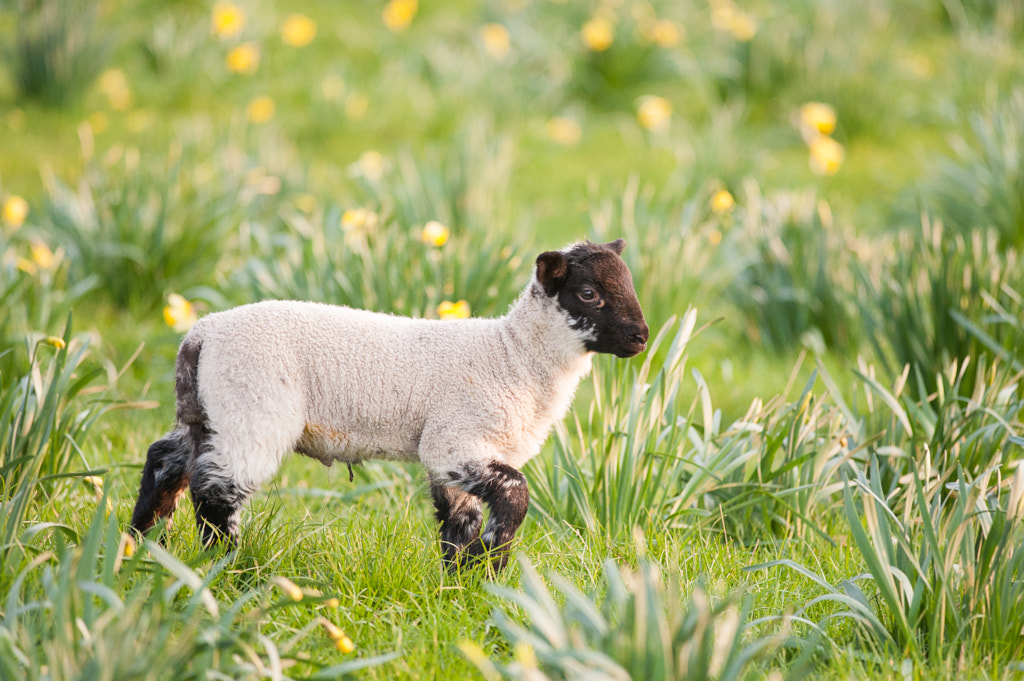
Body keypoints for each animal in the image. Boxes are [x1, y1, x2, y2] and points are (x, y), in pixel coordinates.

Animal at [132, 238, 647, 569]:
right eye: (588, 293)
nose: (641, 337)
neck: (513, 356)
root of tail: (202, 333)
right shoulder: (453, 441)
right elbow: (515, 495)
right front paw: (492, 561)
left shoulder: (458, 455)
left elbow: (459, 523)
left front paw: (460, 584)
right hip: (253, 409)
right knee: (215, 489)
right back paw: (224, 565)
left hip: (206, 412)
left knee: (166, 459)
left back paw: (143, 542)